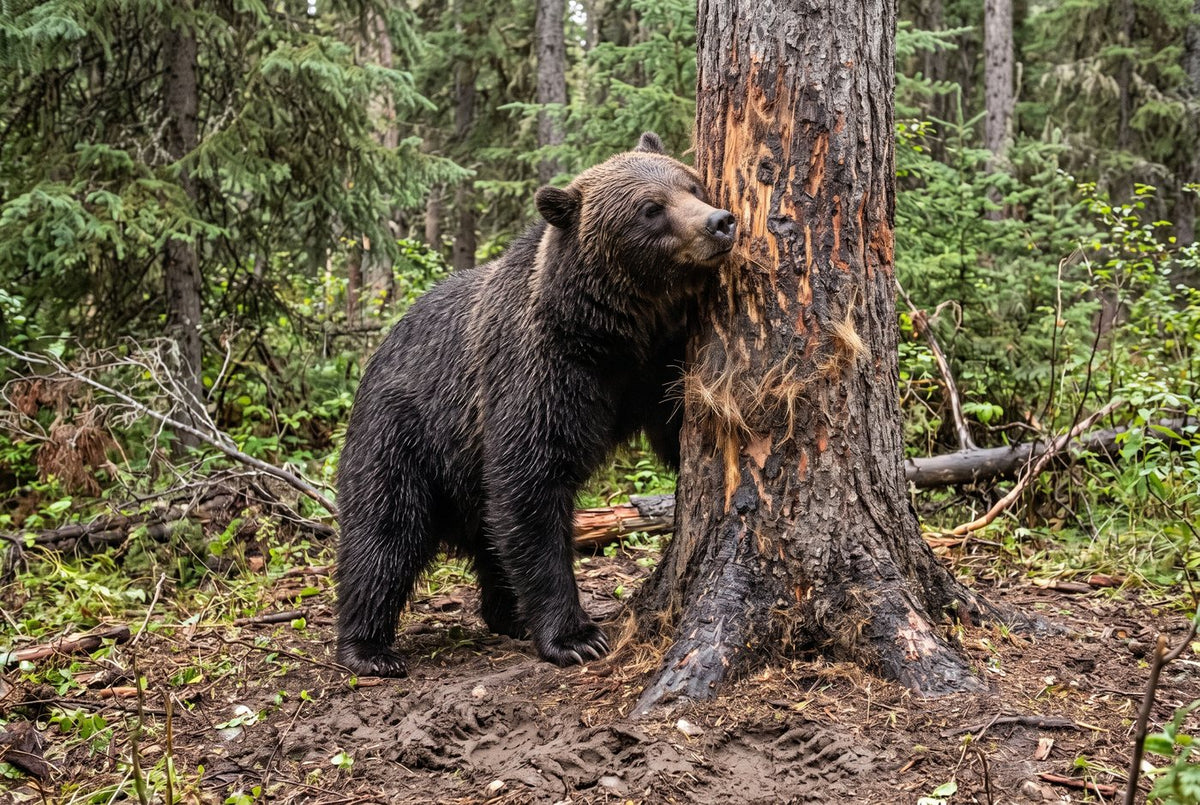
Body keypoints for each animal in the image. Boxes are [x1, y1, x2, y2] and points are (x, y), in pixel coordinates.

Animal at [334, 132, 736, 676]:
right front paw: (576, 636)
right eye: (651, 208)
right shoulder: (539, 372)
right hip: (403, 433)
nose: (719, 221)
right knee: (385, 533)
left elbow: (676, 431)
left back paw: (507, 613)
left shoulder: (657, 364)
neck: (615, 331)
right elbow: (532, 483)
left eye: (692, 184)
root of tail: (379, 350)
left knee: (486, 537)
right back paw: (369, 648)